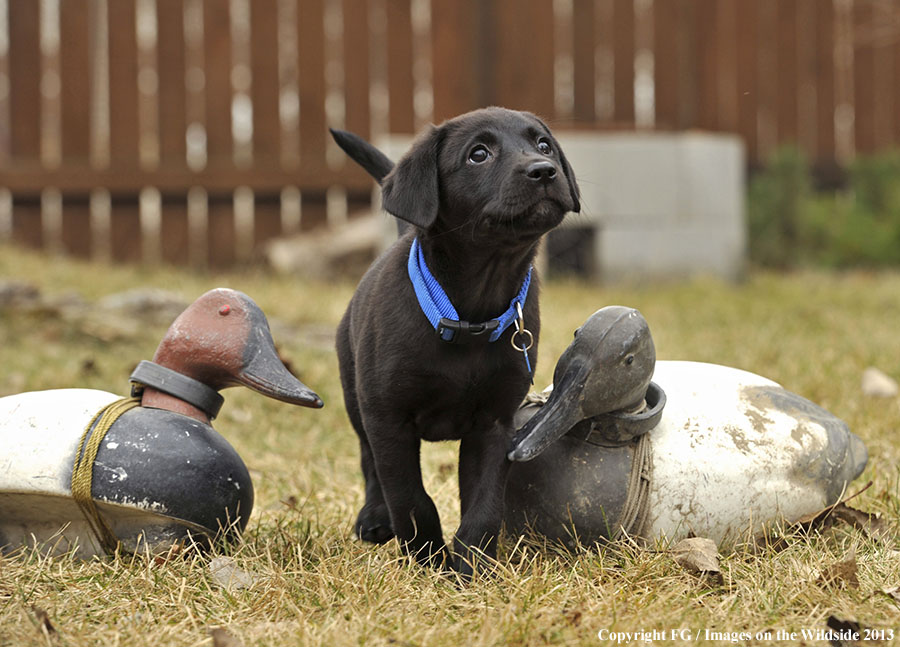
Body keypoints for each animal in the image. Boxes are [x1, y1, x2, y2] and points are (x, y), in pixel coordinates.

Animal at [334, 107, 580, 576]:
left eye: (543, 144)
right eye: (478, 154)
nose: (545, 170)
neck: (470, 312)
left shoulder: (496, 423)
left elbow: (485, 502)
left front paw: (471, 566)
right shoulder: (389, 419)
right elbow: (410, 498)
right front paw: (428, 560)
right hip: (355, 394)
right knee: (367, 458)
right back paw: (375, 518)